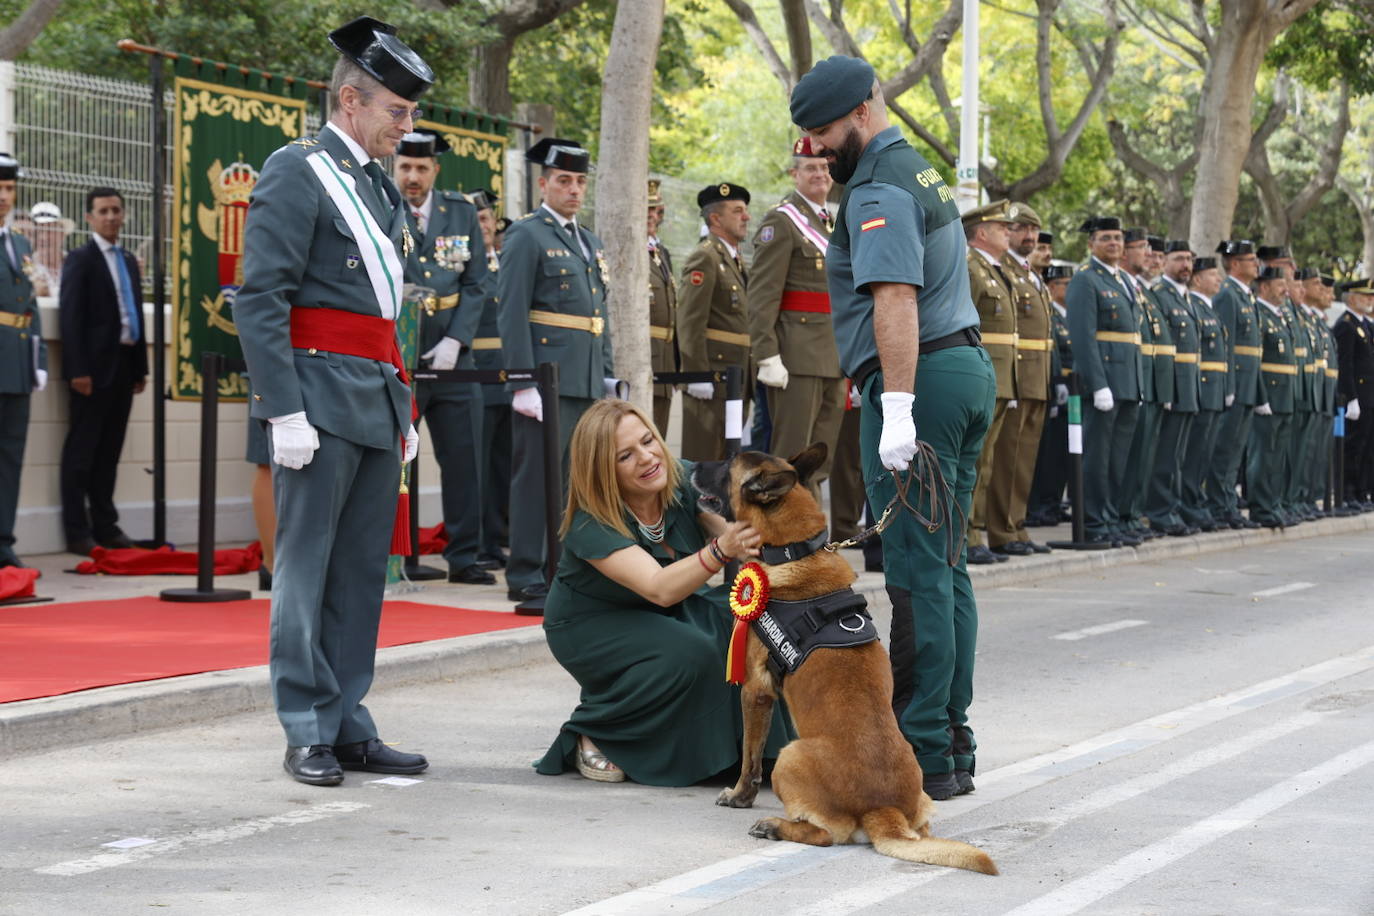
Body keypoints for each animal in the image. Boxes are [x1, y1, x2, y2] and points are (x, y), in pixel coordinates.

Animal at [692, 447, 994, 878]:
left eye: (728, 462)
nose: (690, 465)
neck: (794, 549)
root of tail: (882, 809)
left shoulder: (754, 691)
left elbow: (749, 760)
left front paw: (739, 796)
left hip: (790, 756)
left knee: (825, 834)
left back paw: (774, 825)